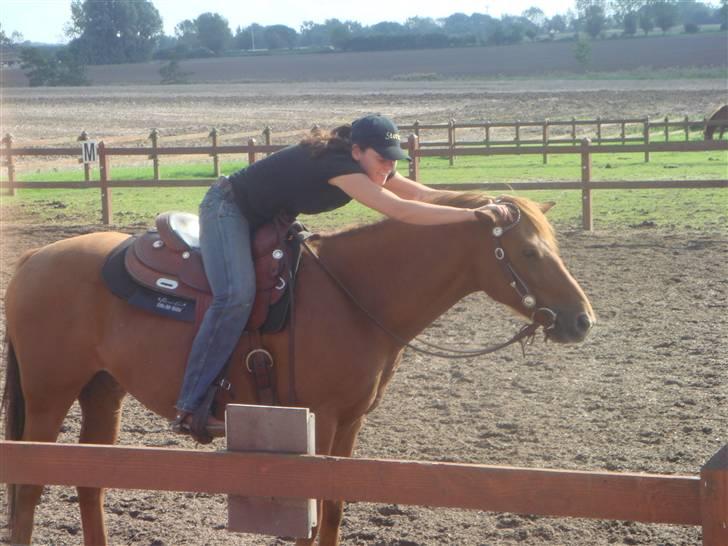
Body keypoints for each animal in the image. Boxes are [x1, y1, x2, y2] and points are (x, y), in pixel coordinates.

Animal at [4, 190, 592, 540]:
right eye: (531, 252)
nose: (581, 320)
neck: (357, 292)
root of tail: (34, 260)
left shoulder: (350, 421)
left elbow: (333, 505)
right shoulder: (321, 417)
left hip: (102, 390)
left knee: (89, 482)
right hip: (49, 393)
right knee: (31, 484)